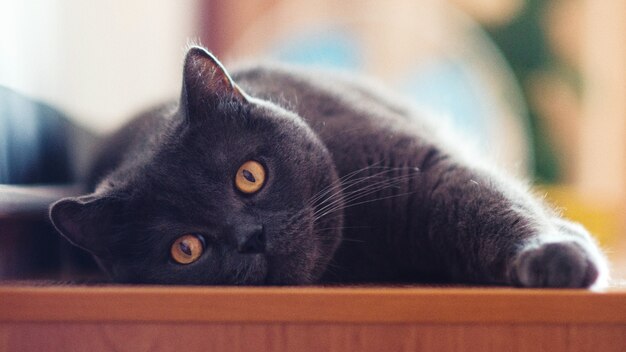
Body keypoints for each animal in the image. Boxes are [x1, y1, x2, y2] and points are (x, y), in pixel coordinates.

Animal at [47, 46, 604, 288]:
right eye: (186, 248)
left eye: (249, 175)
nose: (251, 237)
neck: (363, 247)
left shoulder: (424, 167)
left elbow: (491, 206)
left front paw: (553, 257)